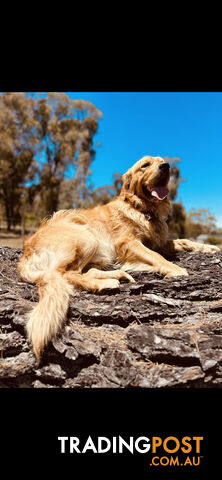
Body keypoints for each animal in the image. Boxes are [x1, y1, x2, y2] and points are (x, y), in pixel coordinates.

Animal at [18, 158, 219, 360]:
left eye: (162, 161)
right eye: (145, 165)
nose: (166, 166)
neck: (143, 209)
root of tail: (26, 252)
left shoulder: (158, 242)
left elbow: (184, 241)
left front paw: (208, 248)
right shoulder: (128, 242)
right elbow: (156, 256)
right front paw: (175, 269)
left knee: (84, 272)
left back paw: (117, 275)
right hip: (86, 236)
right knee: (67, 274)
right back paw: (105, 283)